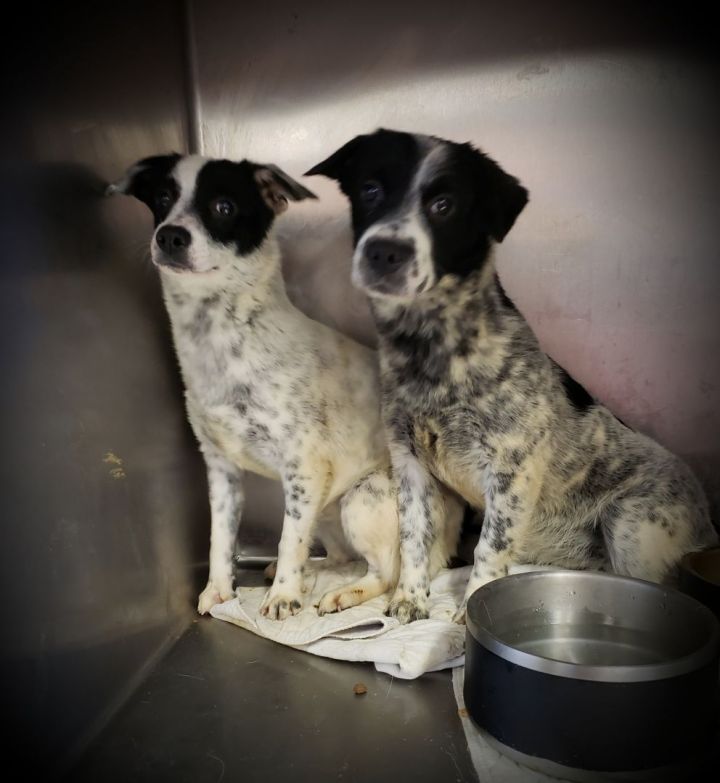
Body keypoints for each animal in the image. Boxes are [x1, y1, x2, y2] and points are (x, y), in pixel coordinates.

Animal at [109, 152, 464, 620]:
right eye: (163, 198)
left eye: (224, 206)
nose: (169, 236)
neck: (220, 342)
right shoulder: (221, 470)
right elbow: (220, 539)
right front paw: (219, 591)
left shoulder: (305, 467)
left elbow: (288, 538)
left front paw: (282, 597)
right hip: (327, 510)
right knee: (338, 556)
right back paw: (310, 572)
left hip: (361, 498)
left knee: (385, 571)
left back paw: (342, 593)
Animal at [306, 132, 716, 628]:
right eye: (370, 190)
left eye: (445, 205)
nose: (383, 251)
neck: (433, 355)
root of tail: (708, 517)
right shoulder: (411, 467)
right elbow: (414, 540)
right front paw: (410, 599)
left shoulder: (510, 475)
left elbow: (489, 548)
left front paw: (469, 611)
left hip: (632, 527)